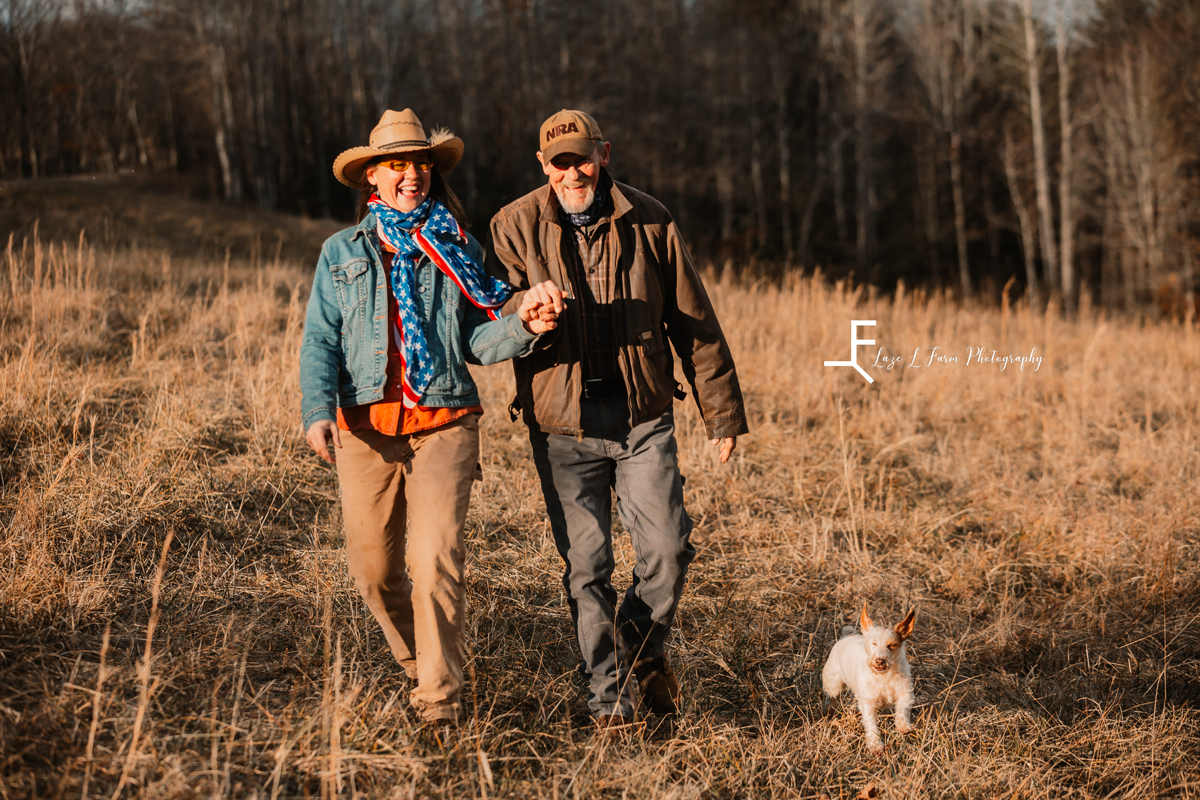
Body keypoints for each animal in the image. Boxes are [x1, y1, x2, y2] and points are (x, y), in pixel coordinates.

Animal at [820, 606, 912, 753]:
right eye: (873, 643)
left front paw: (903, 726)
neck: (883, 675)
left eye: (891, 645)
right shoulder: (868, 702)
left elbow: (903, 708)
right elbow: (871, 725)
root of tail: (847, 635)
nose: (879, 661)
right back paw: (829, 709)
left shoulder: (905, 691)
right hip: (834, 684)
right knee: (830, 695)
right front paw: (876, 746)